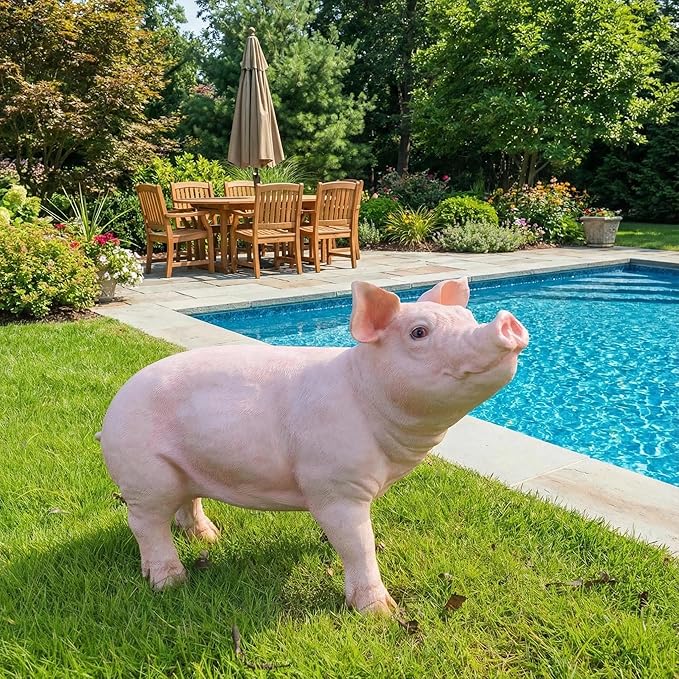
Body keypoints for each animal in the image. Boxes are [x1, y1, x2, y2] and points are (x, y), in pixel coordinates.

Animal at [98, 278, 528, 614]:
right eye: (419, 332)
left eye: (468, 320)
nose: (505, 321)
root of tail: (111, 413)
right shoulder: (335, 484)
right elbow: (358, 543)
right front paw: (382, 614)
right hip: (143, 472)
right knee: (145, 523)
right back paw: (171, 582)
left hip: (183, 469)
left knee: (186, 503)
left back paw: (211, 538)